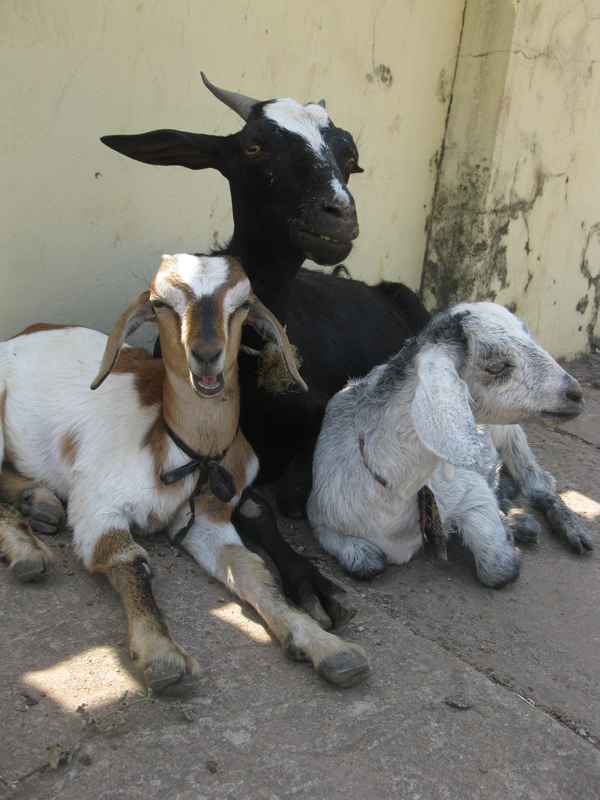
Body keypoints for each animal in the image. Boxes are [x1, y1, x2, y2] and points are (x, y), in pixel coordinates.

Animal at [0, 254, 369, 692]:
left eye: (242, 303)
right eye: (160, 303)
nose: (206, 354)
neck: (180, 451)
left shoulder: (206, 518)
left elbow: (252, 569)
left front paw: (324, 645)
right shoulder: (97, 506)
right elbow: (126, 560)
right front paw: (161, 655)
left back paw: (39, 503)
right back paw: (27, 551)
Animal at [307, 303, 592, 587]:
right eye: (496, 366)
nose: (576, 393)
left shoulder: (470, 491)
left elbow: (498, 568)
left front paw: (509, 534)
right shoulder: (319, 515)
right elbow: (367, 563)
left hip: (508, 432)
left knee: (538, 481)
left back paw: (571, 530)